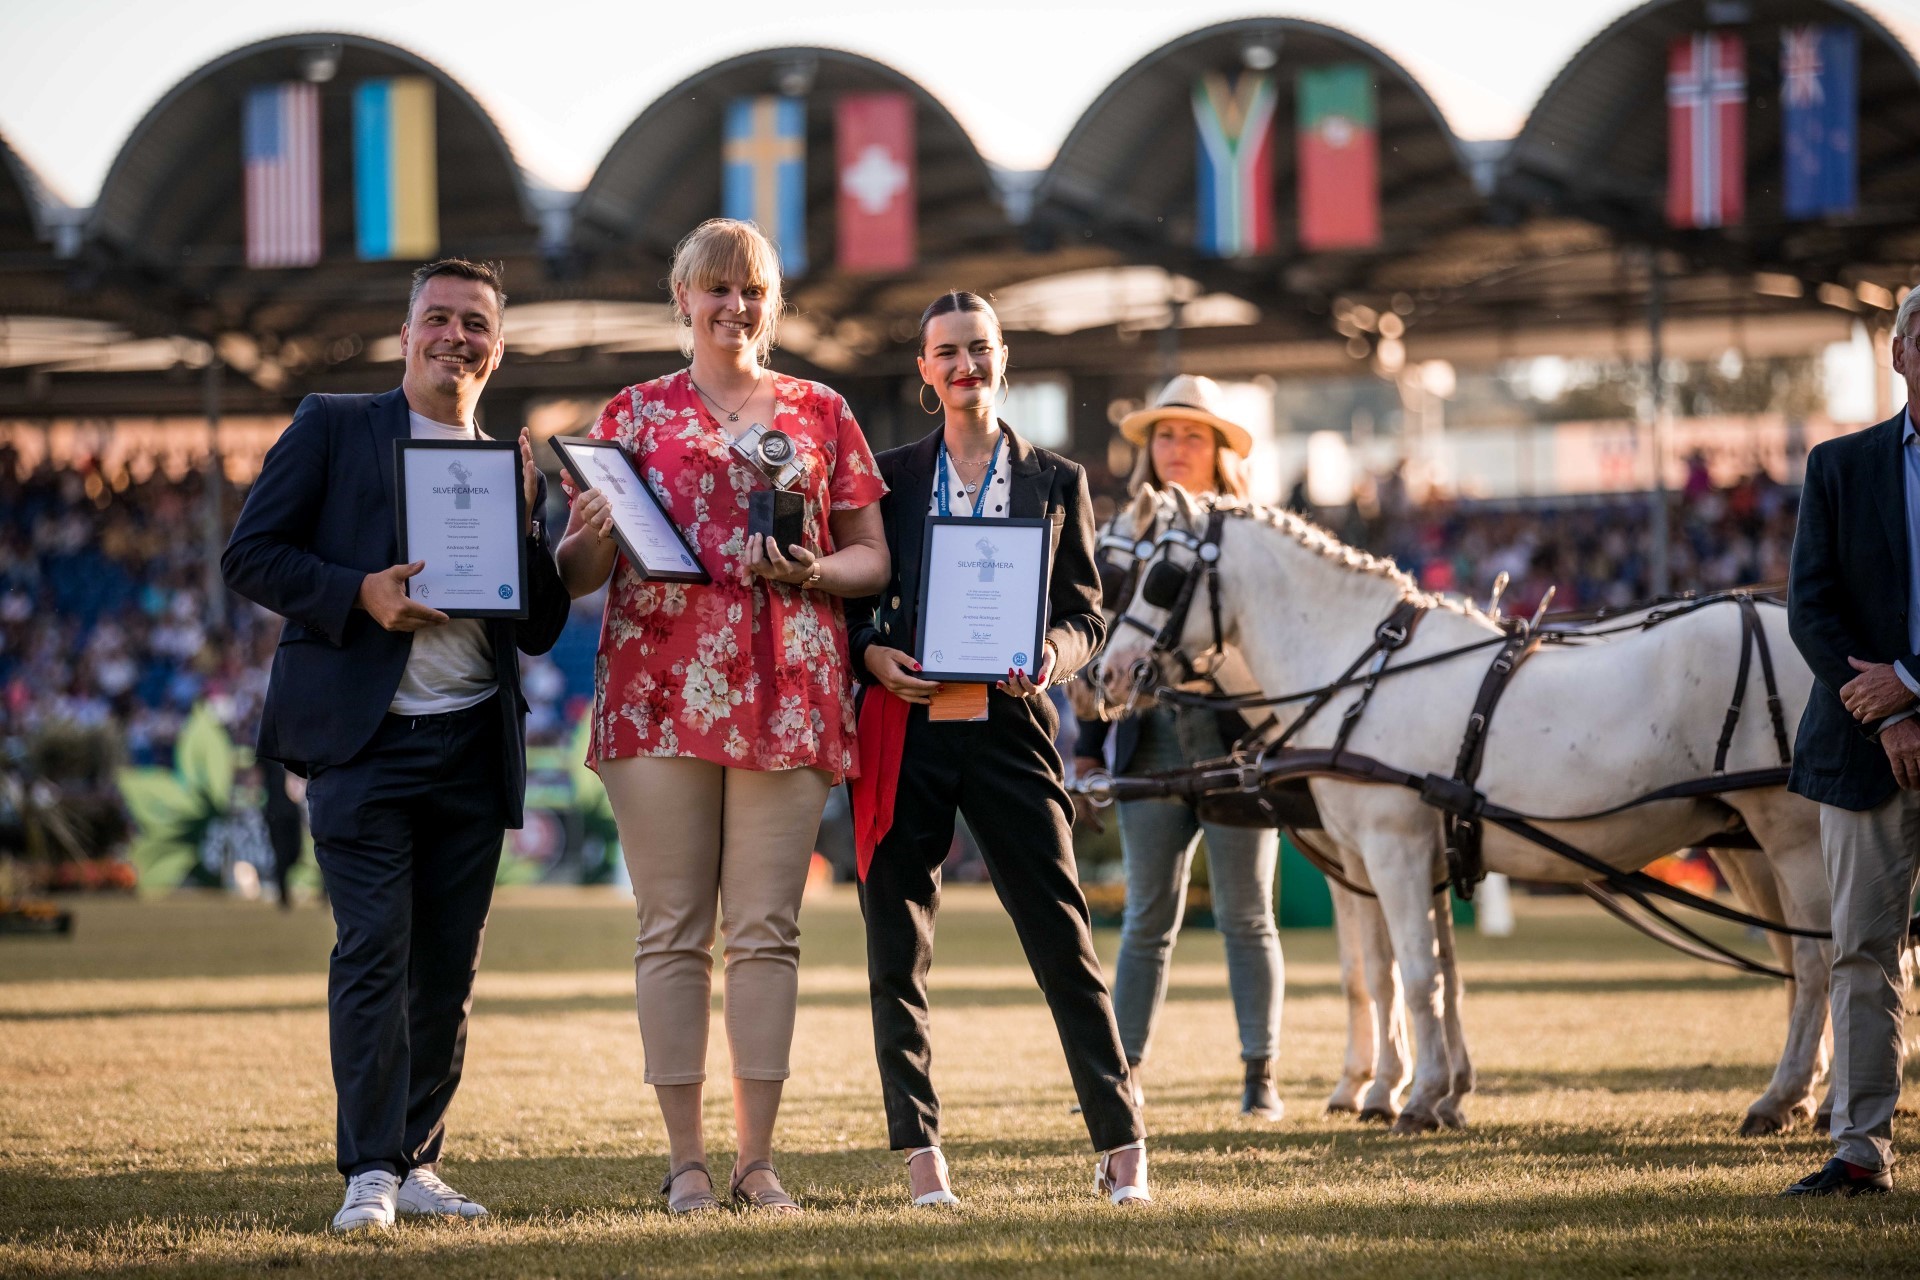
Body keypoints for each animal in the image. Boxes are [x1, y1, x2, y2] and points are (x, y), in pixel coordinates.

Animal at [1098, 487, 1827, 1128]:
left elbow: (1413, 974)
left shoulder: (1391, 849)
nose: (1105, 674)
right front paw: (1442, 1092)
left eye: (1159, 577)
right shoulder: (1417, 854)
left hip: (1787, 834)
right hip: (1748, 841)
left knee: (1818, 958)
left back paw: (1784, 1097)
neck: (1362, 671)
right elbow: (1429, 973)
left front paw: (1412, 1099)